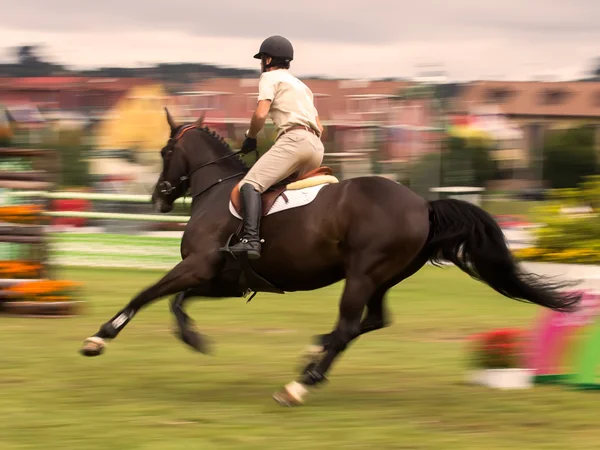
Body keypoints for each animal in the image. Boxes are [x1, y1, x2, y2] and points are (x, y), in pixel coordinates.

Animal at [79, 110, 580, 406]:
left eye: (165, 151)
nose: (158, 198)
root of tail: (423, 204)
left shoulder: (197, 267)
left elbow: (147, 293)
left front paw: (99, 338)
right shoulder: (221, 278)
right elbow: (176, 302)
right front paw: (193, 337)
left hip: (361, 275)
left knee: (347, 327)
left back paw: (300, 383)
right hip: (380, 278)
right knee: (370, 321)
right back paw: (310, 355)